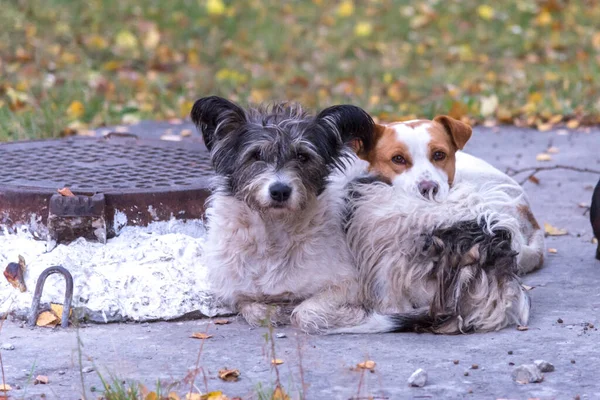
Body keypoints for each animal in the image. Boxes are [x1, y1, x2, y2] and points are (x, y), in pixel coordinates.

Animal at [190, 96, 372, 332]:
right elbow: (251, 308)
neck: (273, 231)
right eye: (255, 155)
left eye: (302, 156)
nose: (280, 191)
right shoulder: (232, 289)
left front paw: (352, 314)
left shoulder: (349, 283)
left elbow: (305, 313)